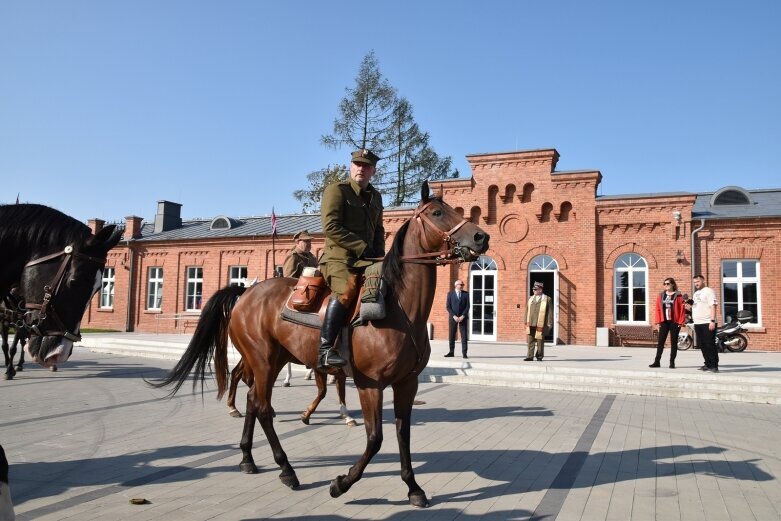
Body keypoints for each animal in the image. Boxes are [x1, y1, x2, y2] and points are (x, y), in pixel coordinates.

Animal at [155, 181, 488, 506]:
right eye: (436, 213)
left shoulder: (407, 383)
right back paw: (287, 469)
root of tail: (245, 293)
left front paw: (413, 487)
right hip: (263, 361)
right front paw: (341, 483)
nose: (481, 237)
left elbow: (402, 433)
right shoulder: (370, 385)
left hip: (273, 361)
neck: (400, 310)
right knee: (262, 407)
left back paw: (248, 458)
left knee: (252, 400)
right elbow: (375, 439)